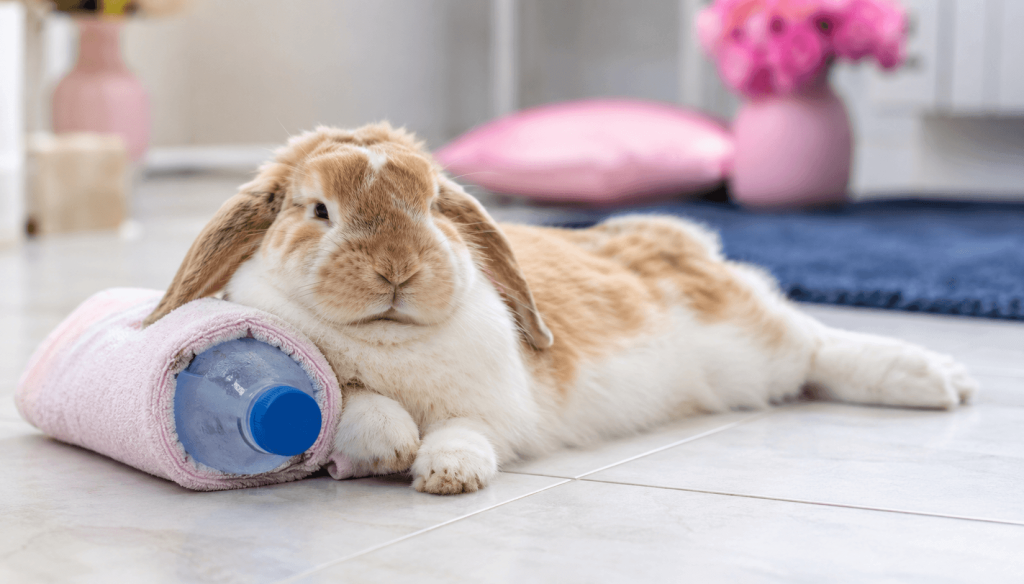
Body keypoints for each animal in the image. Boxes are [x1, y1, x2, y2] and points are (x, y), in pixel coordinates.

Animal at [144, 123, 978, 495]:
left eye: (433, 207)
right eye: (318, 210)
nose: (398, 270)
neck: (390, 336)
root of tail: (680, 240)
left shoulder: (497, 406)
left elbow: (468, 430)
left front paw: (448, 472)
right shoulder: (328, 376)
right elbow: (355, 400)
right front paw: (389, 445)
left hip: (748, 341)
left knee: (816, 343)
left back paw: (940, 378)